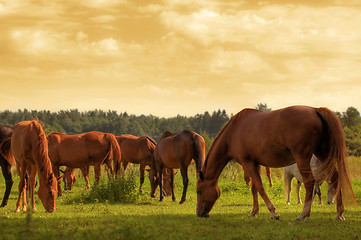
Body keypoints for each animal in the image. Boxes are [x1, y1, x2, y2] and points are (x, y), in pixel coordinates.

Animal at [195, 106, 356, 220]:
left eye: (199, 191)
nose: (199, 213)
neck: (234, 131)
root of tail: (316, 110)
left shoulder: (247, 163)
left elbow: (260, 187)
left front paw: (273, 213)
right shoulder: (255, 163)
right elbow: (254, 188)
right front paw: (254, 212)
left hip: (303, 158)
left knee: (310, 182)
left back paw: (303, 214)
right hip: (323, 155)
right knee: (335, 178)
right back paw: (339, 213)